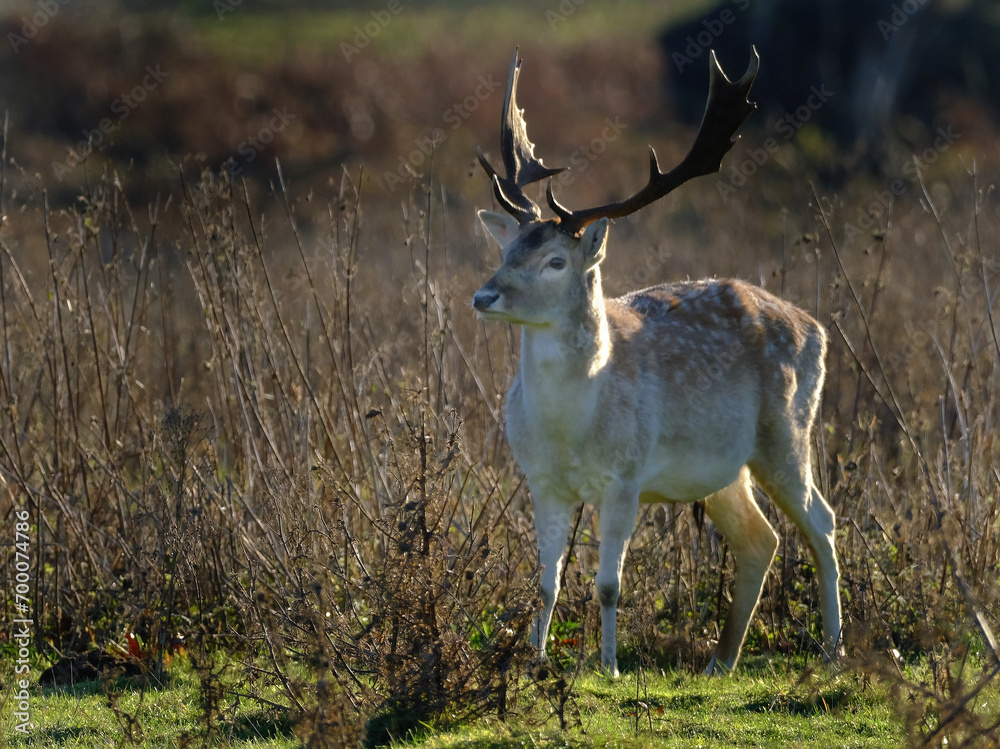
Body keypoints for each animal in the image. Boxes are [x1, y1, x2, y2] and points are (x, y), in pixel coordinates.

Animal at [472, 49, 841, 677]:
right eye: (507, 250)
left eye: (555, 261)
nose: (484, 296)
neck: (571, 430)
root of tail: (816, 327)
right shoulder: (541, 480)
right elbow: (546, 584)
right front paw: (533, 661)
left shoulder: (626, 475)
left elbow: (607, 585)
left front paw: (609, 667)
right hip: (722, 469)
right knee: (761, 538)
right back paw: (721, 662)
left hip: (787, 432)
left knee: (822, 521)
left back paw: (834, 648)